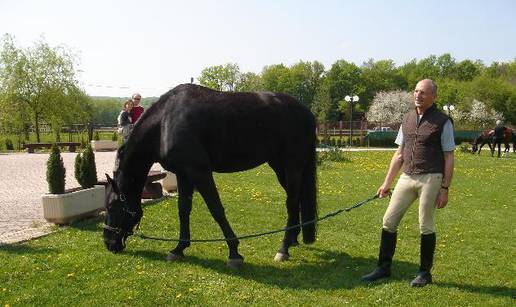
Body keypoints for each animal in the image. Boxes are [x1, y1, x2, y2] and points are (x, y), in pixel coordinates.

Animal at [103, 83, 316, 268]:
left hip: (292, 165)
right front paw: (179, 248)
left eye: (112, 205)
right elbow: (183, 210)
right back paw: (293, 240)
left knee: (291, 202)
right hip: (279, 166)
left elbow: (216, 209)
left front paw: (234, 253)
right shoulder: (183, 174)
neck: (165, 123)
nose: (108, 243)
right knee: (296, 199)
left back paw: (283, 249)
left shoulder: (200, 172)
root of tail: (304, 111)